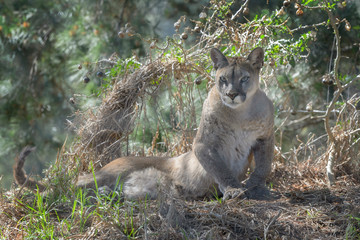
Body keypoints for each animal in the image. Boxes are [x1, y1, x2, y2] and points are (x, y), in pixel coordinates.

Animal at [13, 47, 272, 200]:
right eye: (223, 79)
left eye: (244, 78)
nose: (231, 94)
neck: (239, 113)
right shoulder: (204, 144)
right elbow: (220, 169)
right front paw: (234, 190)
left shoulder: (264, 138)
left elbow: (264, 166)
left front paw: (256, 187)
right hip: (112, 172)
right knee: (73, 184)